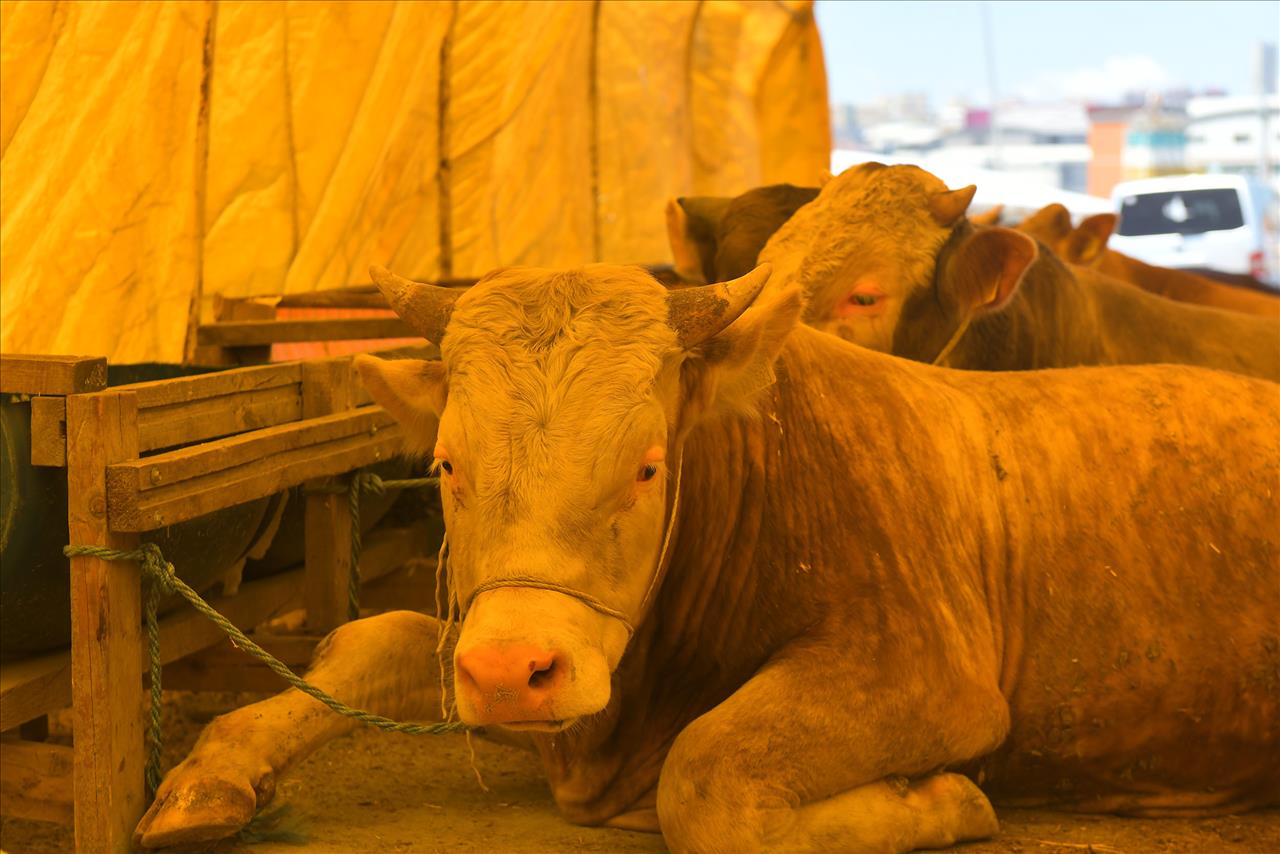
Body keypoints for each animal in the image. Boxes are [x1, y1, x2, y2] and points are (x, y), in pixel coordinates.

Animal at [137, 263, 1280, 850]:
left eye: (648, 464)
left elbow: (707, 778)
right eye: (446, 460)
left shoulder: (928, 671)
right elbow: (377, 637)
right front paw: (208, 774)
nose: (511, 672)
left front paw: (940, 801)